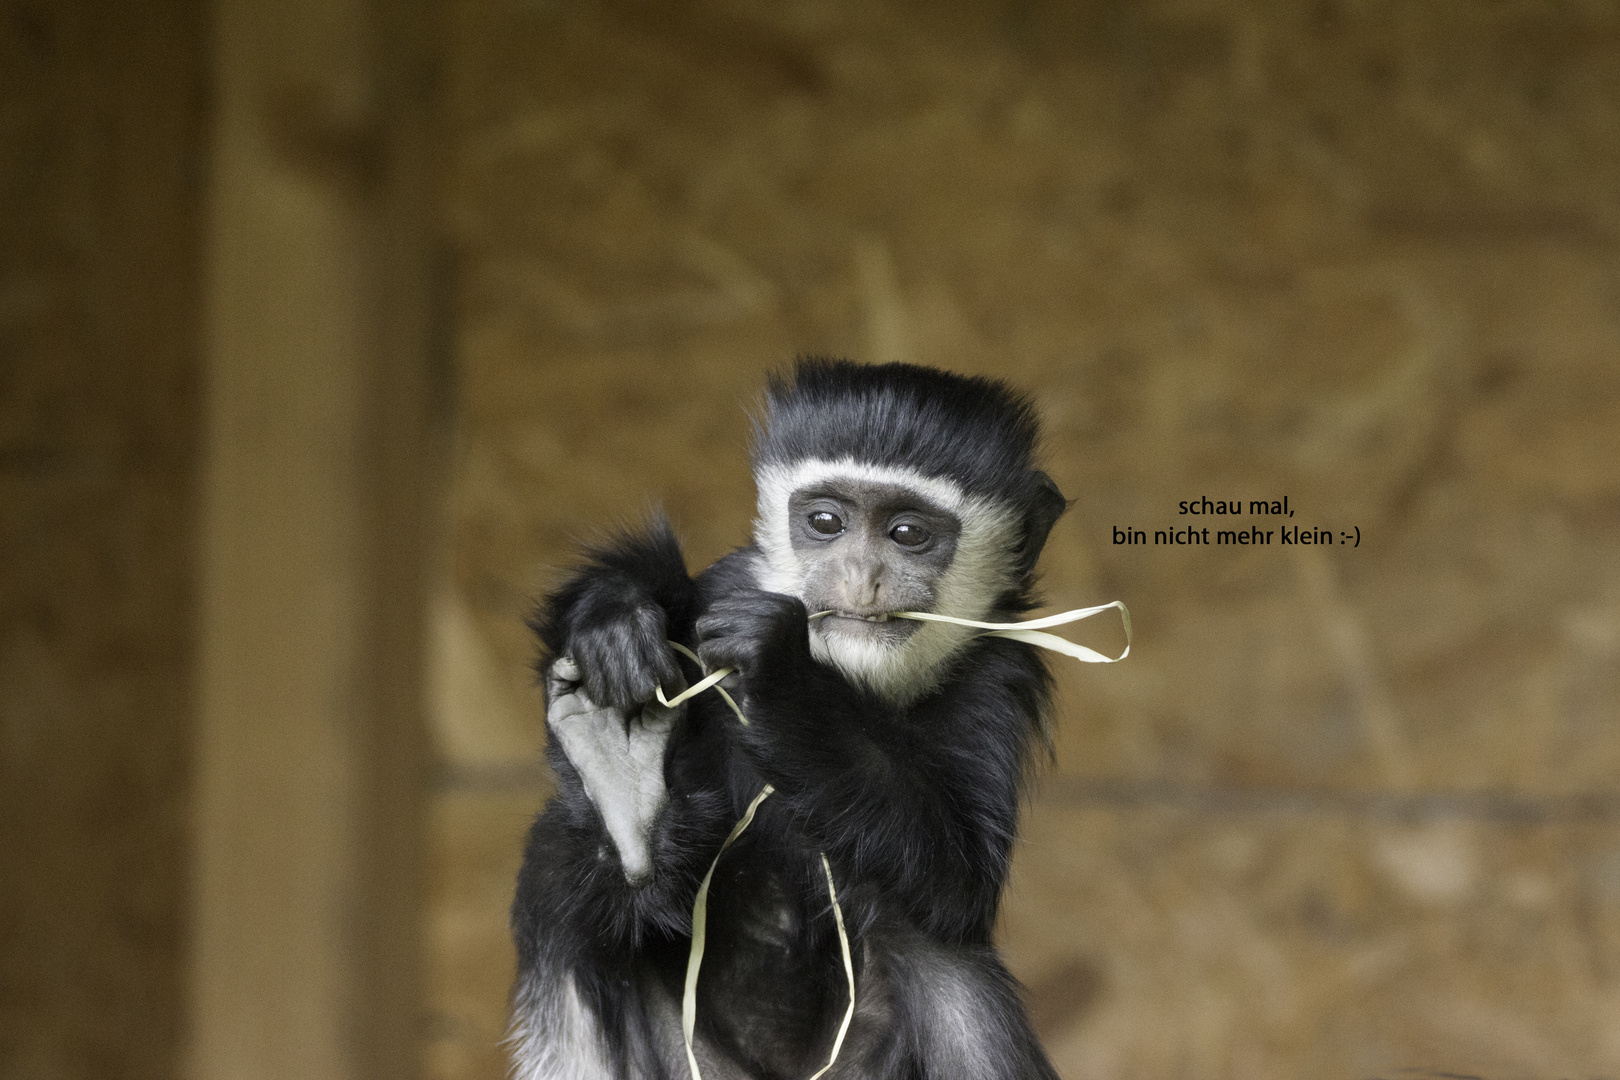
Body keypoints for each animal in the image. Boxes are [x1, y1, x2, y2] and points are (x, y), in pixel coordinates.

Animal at [511, 361, 1069, 1080]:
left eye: (908, 534)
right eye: (826, 521)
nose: (860, 576)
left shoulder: (997, 676)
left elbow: (960, 880)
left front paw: (780, 673)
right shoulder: (725, 587)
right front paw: (614, 620)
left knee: (947, 963)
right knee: (560, 875)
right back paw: (622, 788)